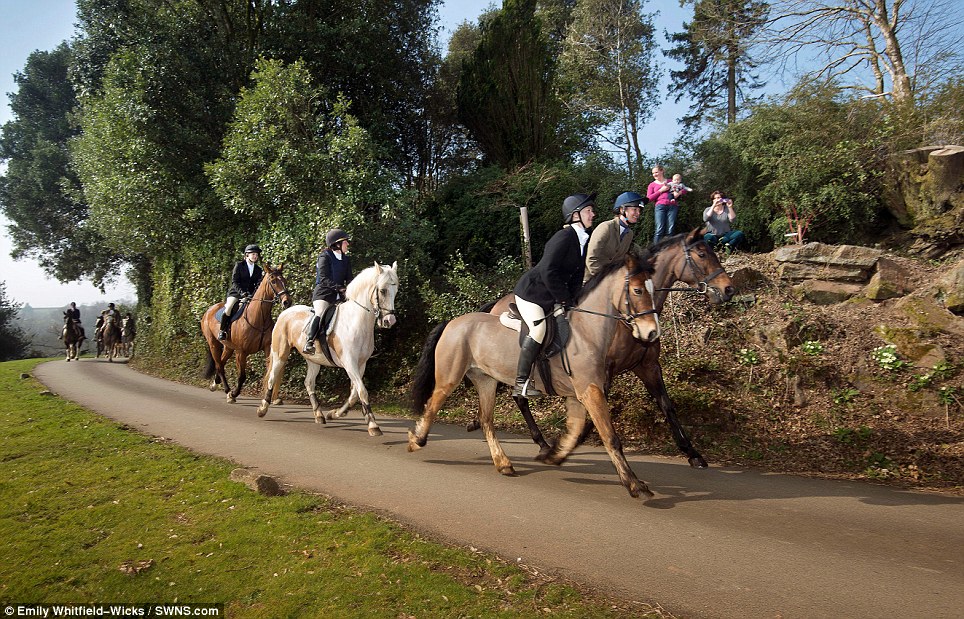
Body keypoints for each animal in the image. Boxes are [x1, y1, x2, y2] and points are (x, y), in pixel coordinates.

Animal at [201, 264, 292, 404]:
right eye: (273, 281)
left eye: (285, 280)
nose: (287, 302)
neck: (259, 317)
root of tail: (209, 310)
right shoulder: (241, 352)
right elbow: (242, 376)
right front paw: (234, 394)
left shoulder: (267, 348)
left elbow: (270, 372)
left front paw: (272, 398)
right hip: (213, 344)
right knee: (219, 365)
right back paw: (228, 392)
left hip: (228, 347)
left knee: (221, 363)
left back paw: (215, 384)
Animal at [256, 262, 400, 436]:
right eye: (383, 290)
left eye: (396, 290)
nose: (389, 321)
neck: (356, 322)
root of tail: (285, 312)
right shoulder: (349, 363)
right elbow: (362, 391)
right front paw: (373, 425)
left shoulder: (361, 364)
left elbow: (354, 394)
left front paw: (335, 413)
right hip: (280, 354)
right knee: (272, 377)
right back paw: (262, 409)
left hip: (313, 360)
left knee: (309, 383)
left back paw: (319, 415)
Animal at [406, 247, 664, 498]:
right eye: (638, 290)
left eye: (653, 289)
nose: (652, 333)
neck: (586, 331)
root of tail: (452, 322)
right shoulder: (590, 391)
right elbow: (610, 437)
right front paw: (633, 484)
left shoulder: (579, 394)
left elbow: (576, 430)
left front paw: (554, 454)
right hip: (449, 378)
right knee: (433, 404)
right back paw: (416, 439)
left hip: (486, 380)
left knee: (486, 419)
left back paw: (503, 463)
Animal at [486, 230, 736, 468]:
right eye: (702, 254)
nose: (729, 289)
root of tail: (496, 304)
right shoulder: (602, 372)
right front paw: (568, 445)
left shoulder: (648, 366)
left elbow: (667, 405)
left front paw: (692, 453)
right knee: (519, 397)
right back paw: (540, 443)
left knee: (518, 397)